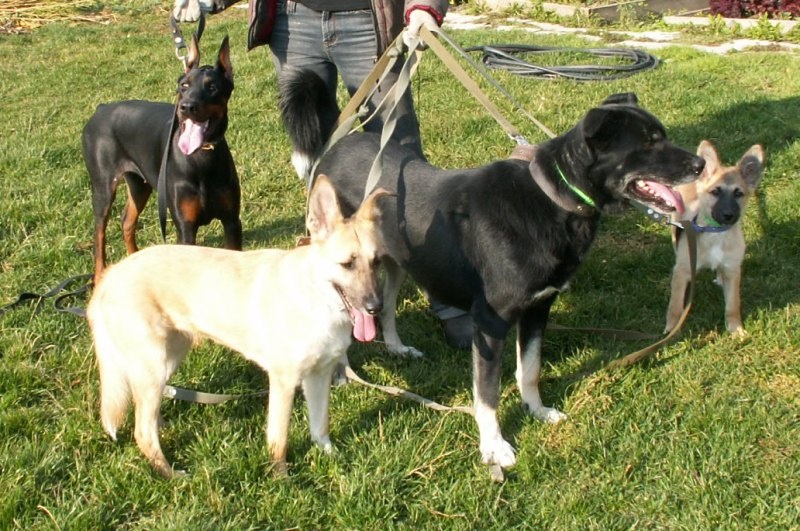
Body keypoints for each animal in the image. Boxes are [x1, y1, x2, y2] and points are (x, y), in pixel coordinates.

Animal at [83, 34, 242, 285]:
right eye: (184, 85)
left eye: (212, 87)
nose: (187, 106)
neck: (201, 157)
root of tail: (100, 109)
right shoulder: (185, 228)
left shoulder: (232, 220)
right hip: (103, 187)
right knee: (99, 233)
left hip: (140, 184)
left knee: (127, 220)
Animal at [86, 175, 389, 477]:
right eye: (347, 264)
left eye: (377, 262)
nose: (376, 307)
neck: (315, 298)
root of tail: (109, 276)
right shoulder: (284, 382)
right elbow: (279, 440)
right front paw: (281, 478)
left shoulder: (319, 375)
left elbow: (320, 426)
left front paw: (333, 459)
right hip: (155, 365)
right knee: (142, 433)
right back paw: (172, 475)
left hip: (168, 359)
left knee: (146, 412)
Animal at [280, 69, 706, 471]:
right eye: (648, 143)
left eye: (663, 135)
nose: (700, 164)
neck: (553, 200)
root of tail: (336, 144)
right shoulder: (490, 322)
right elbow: (487, 395)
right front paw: (493, 448)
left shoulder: (538, 308)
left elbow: (529, 369)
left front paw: (537, 410)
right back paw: (341, 371)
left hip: (394, 261)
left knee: (385, 308)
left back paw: (398, 348)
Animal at [665, 140, 764, 336]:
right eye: (715, 192)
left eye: (738, 194)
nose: (728, 215)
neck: (716, 233)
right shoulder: (683, 270)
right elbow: (675, 306)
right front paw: (672, 330)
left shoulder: (733, 270)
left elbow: (733, 305)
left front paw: (736, 330)